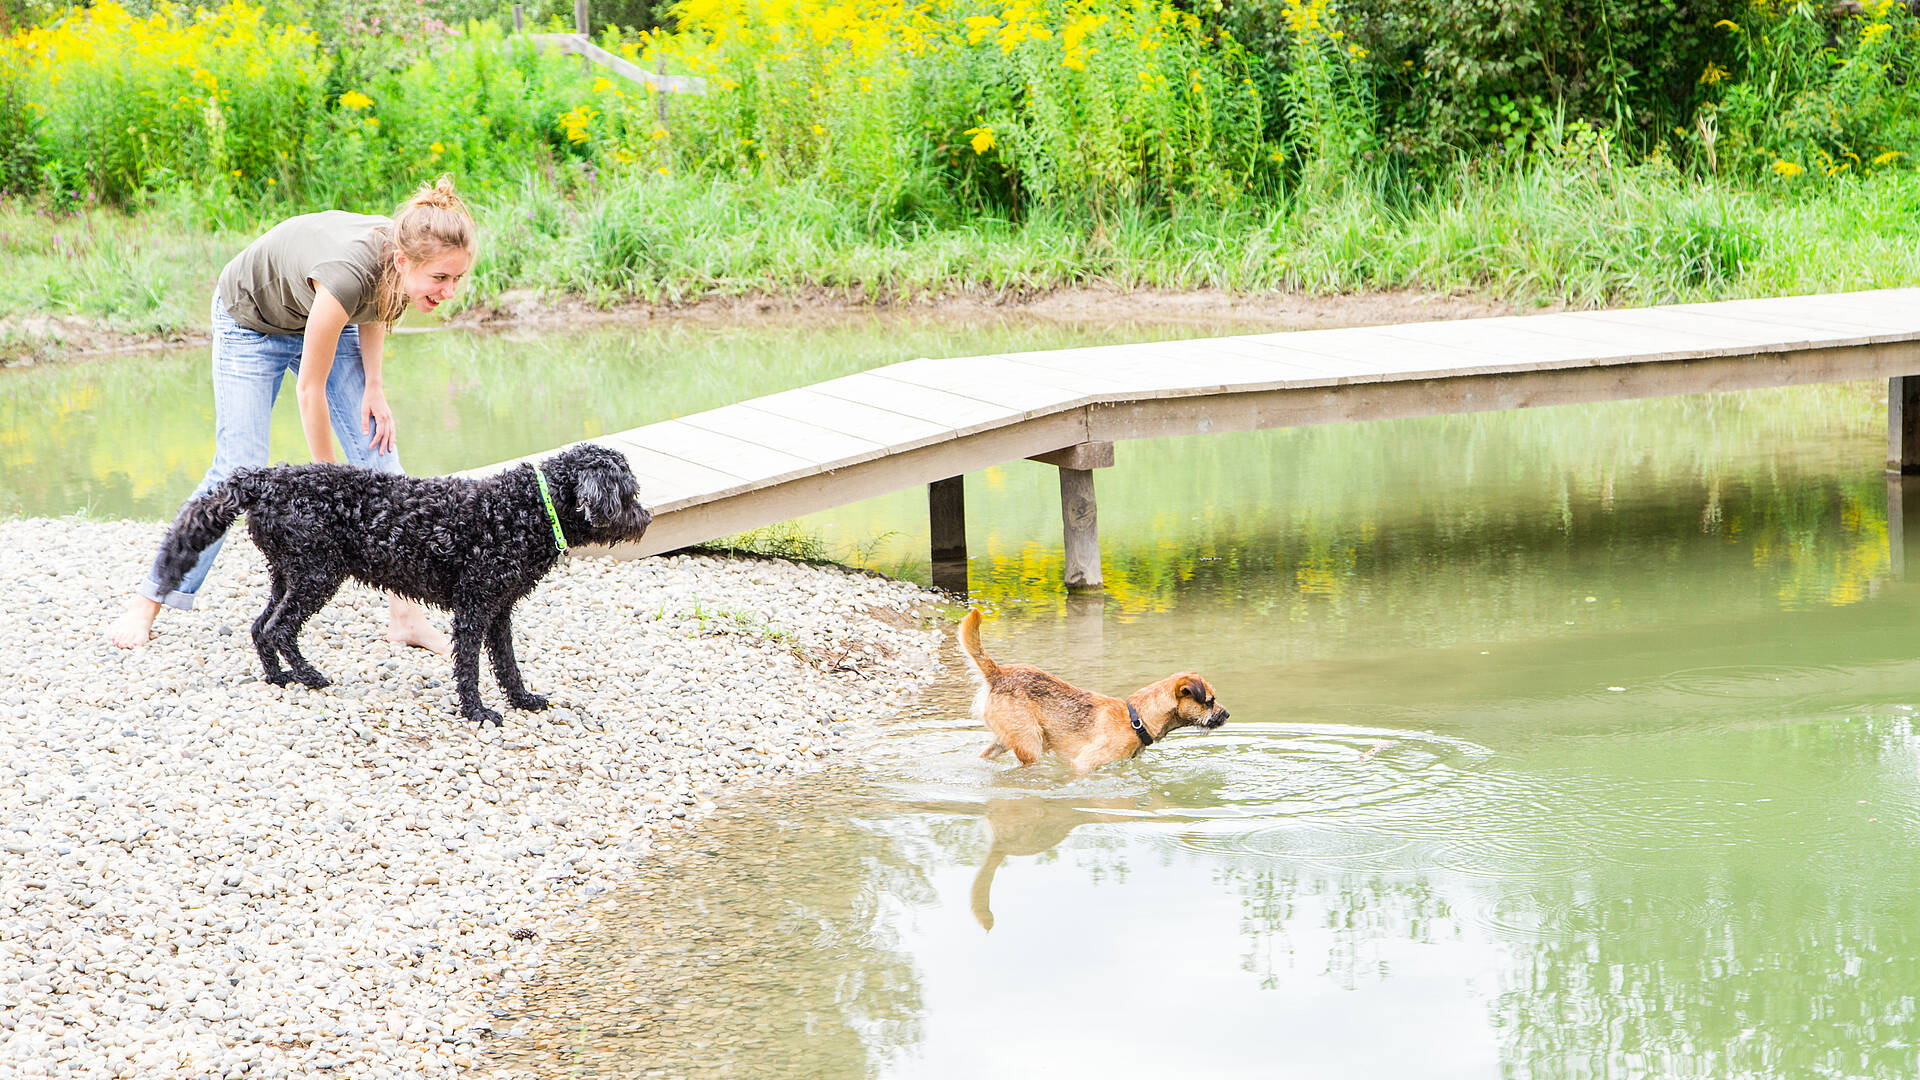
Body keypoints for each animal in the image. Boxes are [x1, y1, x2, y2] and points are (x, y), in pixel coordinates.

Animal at [147, 441, 652, 726]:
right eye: (629, 493)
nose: (645, 518)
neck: (524, 509)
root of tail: (266, 478)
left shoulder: (499, 609)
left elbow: (507, 664)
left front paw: (523, 700)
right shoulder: (474, 607)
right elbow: (469, 668)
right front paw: (477, 712)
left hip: (286, 574)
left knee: (259, 627)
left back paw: (278, 678)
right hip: (315, 574)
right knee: (279, 629)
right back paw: (309, 677)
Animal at [960, 607, 1228, 772]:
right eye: (1209, 701)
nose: (1226, 714)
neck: (1137, 719)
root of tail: (998, 674)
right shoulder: (1084, 763)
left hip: (1005, 739)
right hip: (1030, 745)